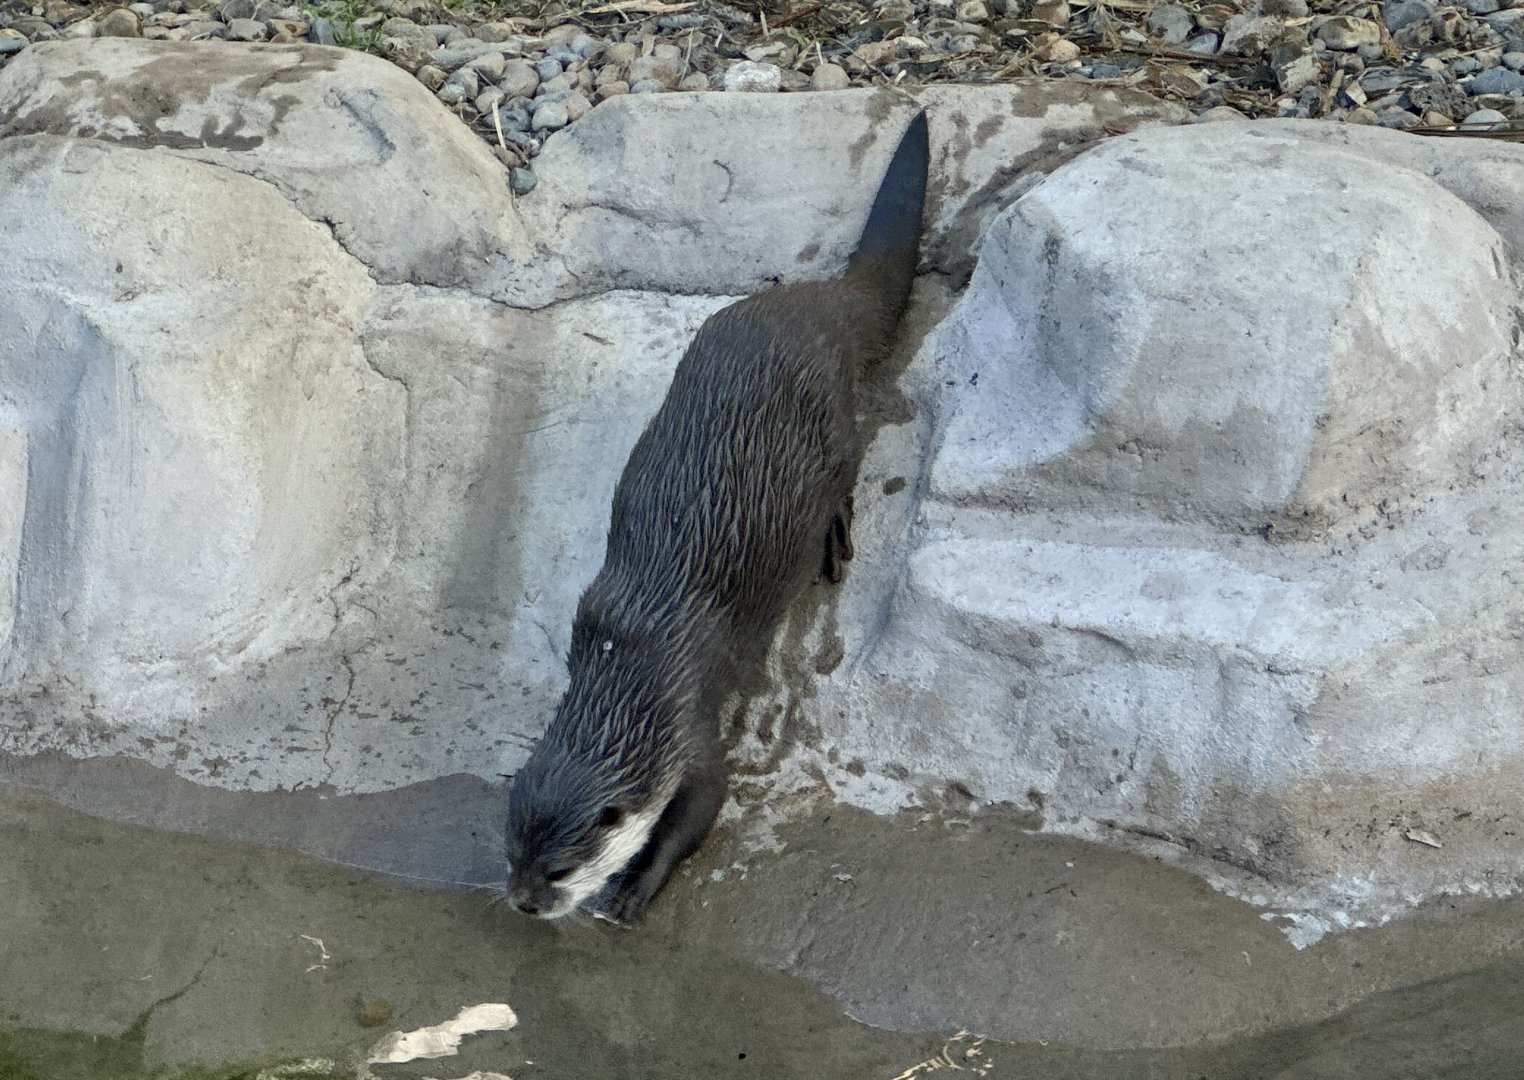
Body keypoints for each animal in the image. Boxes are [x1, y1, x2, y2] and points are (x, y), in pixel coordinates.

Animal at [505, 111, 929, 924]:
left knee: (849, 463)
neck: (629, 663)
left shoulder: (692, 721)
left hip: (835, 420)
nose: (522, 903)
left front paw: (636, 887)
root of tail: (818, 300)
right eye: (512, 848)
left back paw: (835, 539)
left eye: (564, 868)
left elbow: (704, 806)